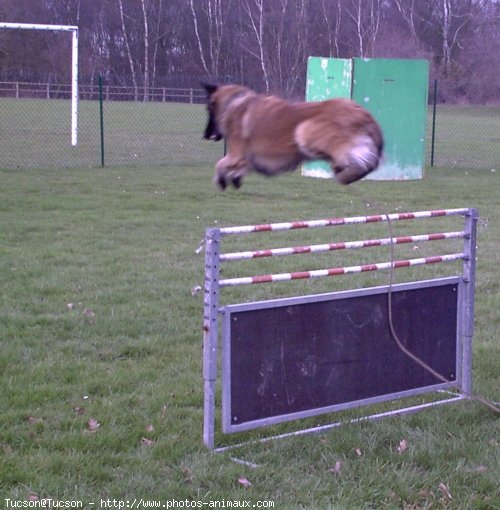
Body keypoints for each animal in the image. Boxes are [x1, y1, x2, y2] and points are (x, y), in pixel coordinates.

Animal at [202, 82, 382, 190]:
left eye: (208, 110)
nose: (206, 135)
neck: (232, 104)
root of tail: (366, 116)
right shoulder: (249, 158)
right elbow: (238, 167)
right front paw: (234, 178)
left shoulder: (236, 154)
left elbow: (219, 164)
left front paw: (221, 180)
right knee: (367, 164)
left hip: (304, 130)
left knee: (356, 162)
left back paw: (343, 170)